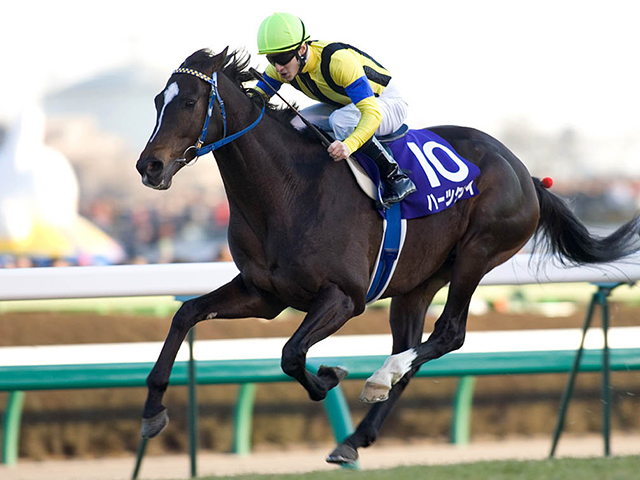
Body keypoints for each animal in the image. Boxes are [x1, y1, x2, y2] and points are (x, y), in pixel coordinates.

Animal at [135, 47, 640, 464]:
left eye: (189, 102)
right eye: (158, 100)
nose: (149, 166)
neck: (287, 191)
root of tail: (524, 172)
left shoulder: (344, 297)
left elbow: (292, 354)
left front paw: (330, 375)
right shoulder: (264, 294)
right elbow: (186, 314)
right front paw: (153, 409)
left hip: (478, 252)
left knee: (448, 334)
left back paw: (380, 378)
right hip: (418, 283)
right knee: (412, 351)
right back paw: (355, 436)